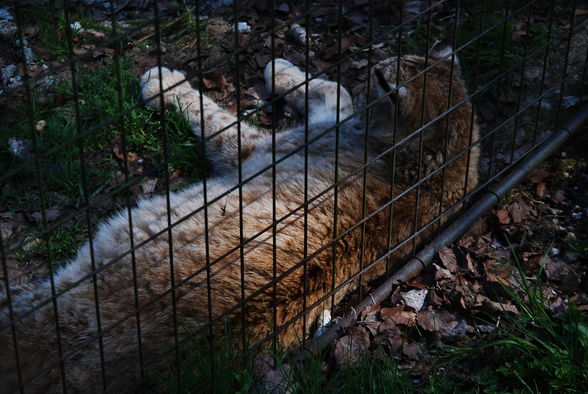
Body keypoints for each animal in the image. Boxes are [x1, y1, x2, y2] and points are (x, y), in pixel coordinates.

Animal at [0, 44, 478, 392]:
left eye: (379, 79)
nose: (371, 72)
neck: (442, 159)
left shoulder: (256, 149)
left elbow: (219, 118)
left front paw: (166, 83)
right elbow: (331, 89)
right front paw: (287, 71)